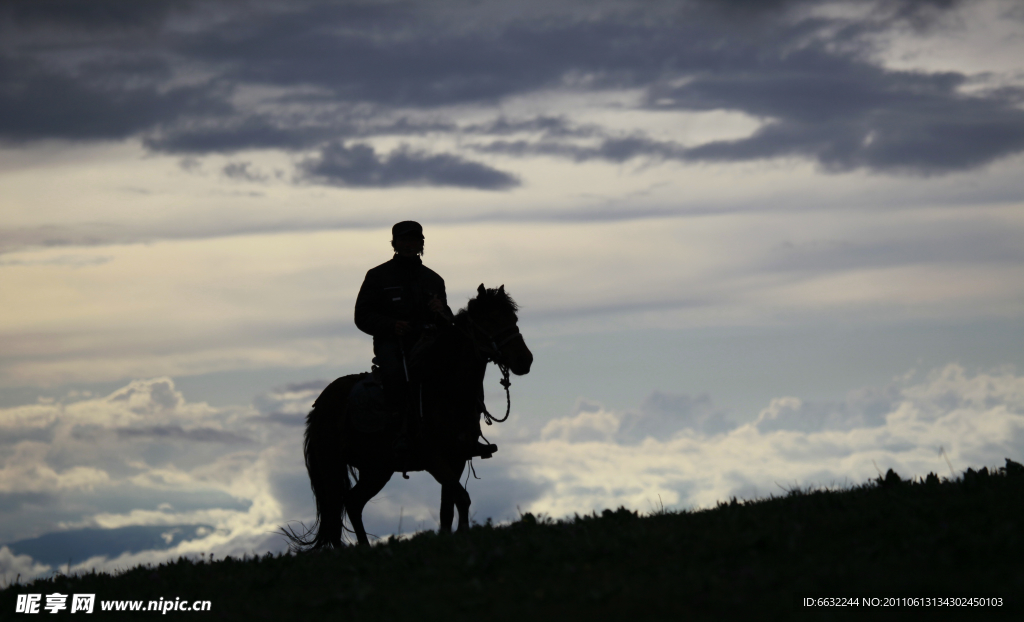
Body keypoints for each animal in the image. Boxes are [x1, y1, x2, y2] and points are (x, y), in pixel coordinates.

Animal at [284, 284, 532, 549]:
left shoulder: (457, 459)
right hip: (334, 467)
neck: (445, 390)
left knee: (352, 502)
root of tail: (320, 404)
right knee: (336, 507)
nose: (524, 360)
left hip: (376, 469)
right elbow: (462, 498)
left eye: (513, 318)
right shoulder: (434, 459)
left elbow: (449, 507)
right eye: (491, 319)